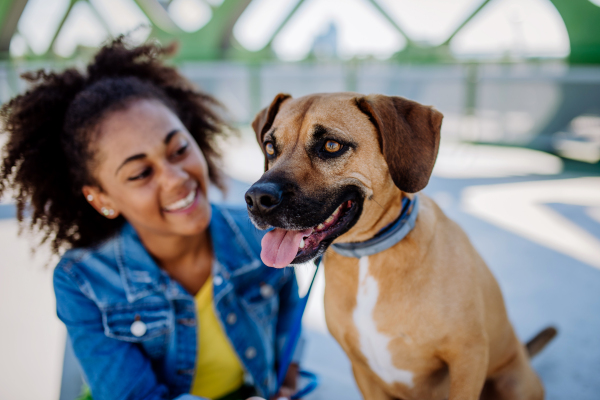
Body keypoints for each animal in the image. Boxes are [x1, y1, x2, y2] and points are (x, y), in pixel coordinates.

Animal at [243, 92, 552, 398]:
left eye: (331, 145)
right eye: (270, 147)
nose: (257, 198)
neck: (367, 256)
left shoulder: (468, 357)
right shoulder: (363, 371)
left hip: (511, 382)